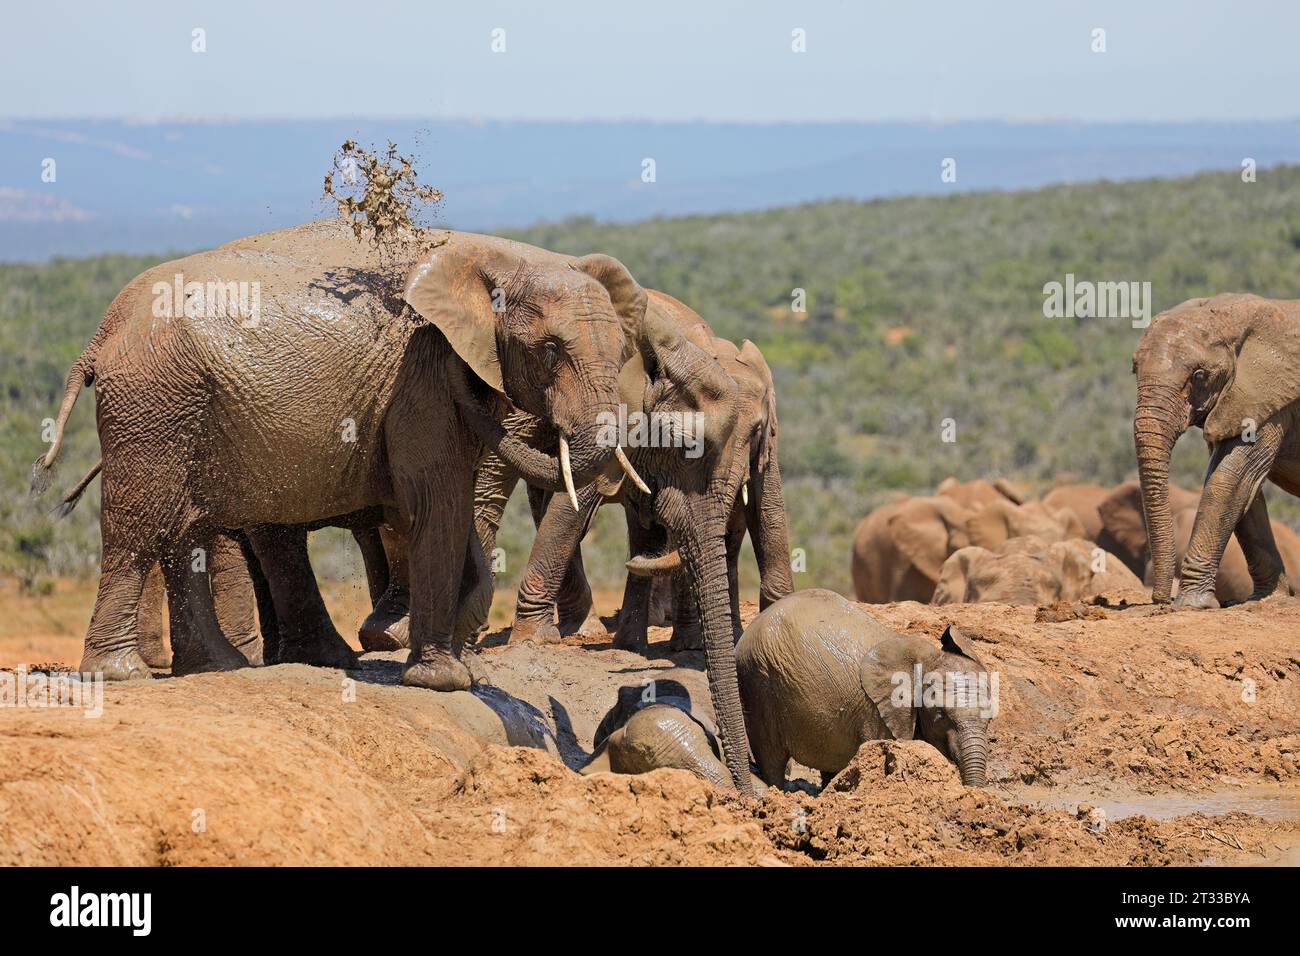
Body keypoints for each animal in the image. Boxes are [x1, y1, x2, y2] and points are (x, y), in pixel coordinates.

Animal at [32, 220, 644, 692]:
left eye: (622, 353)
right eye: (550, 352)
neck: (507, 259)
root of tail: (102, 334)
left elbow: (458, 512)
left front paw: (463, 669)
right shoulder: (423, 376)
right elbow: (437, 503)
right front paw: (443, 681)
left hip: (180, 408)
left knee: (184, 529)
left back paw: (219, 667)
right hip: (155, 402)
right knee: (140, 528)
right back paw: (120, 674)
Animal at [736, 588, 993, 787]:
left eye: (990, 719)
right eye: (940, 715)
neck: (924, 659)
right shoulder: (876, 713)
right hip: (759, 681)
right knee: (771, 758)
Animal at [1132, 293, 1300, 607]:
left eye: (1199, 375)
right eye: (1134, 369)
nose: (1160, 600)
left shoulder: (1271, 396)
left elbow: (1230, 478)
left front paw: (1191, 604)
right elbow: (1243, 487)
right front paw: (1267, 598)